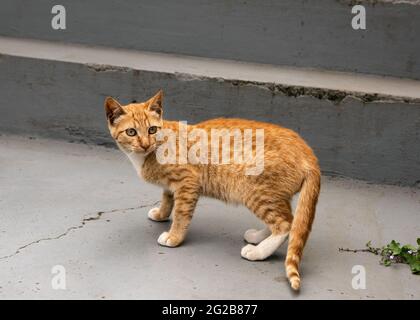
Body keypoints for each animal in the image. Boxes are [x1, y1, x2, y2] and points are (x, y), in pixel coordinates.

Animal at [104, 90, 318, 290]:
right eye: (131, 132)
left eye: (152, 129)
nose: (145, 144)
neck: (150, 152)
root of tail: (308, 153)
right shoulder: (172, 185)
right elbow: (167, 197)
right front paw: (161, 213)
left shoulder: (188, 182)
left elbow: (181, 213)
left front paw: (174, 237)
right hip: (273, 196)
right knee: (286, 218)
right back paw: (258, 237)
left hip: (255, 191)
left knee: (286, 224)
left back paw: (258, 252)